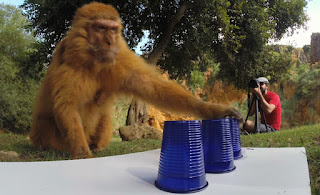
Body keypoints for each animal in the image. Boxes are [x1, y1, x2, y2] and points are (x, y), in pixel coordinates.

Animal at [30, 2, 242, 159]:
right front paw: (83, 155)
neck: (94, 61)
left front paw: (214, 110)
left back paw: (97, 146)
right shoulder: (68, 63)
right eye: (100, 28)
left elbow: (152, 87)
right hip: (46, 135)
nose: (110, 42)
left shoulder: (120, 58)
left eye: (112, 29)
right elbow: (67, 106)